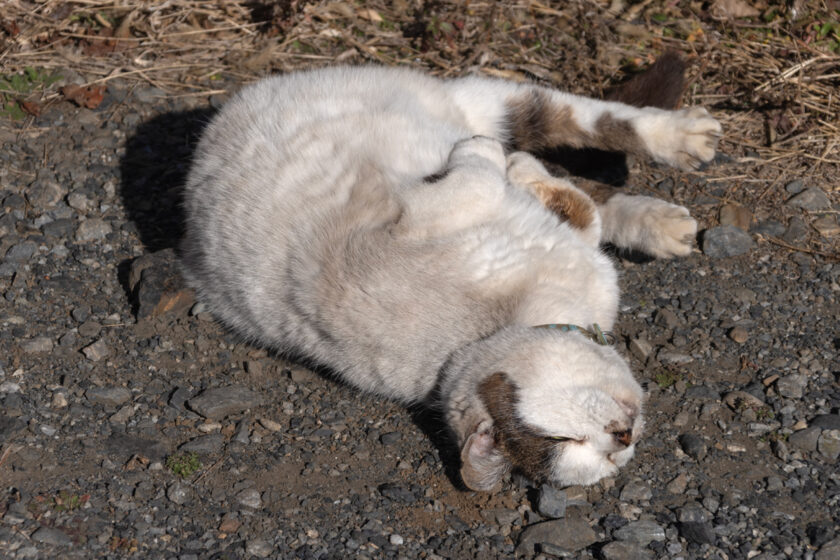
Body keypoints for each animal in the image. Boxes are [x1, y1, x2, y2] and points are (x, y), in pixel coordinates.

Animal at [184, 60, 720, 490]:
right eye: (570, 442)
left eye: (611, 453)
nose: (622, 438)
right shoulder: (411, 221)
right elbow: (522, 190)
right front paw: (510, 168)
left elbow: (566, 195)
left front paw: (519, 170)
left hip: (484, 100)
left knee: (588, 117)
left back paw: (679, 148)